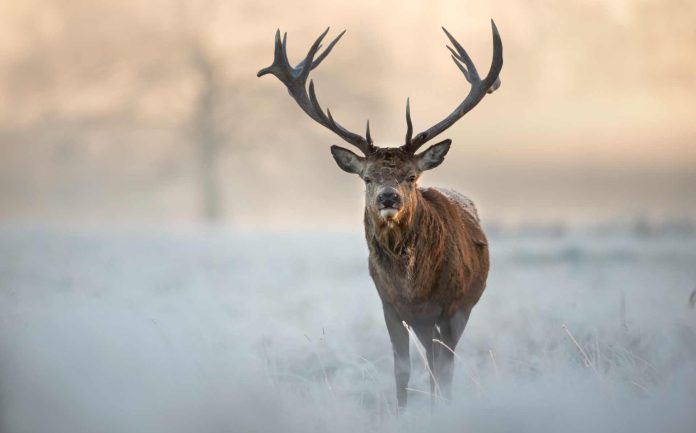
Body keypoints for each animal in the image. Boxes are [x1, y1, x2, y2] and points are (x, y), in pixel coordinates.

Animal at [258, 22, 502, 406]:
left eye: (412, 176)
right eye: (368, 177)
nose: (389, 197)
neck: (413, 288)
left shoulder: (452, 306)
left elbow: (444, 370)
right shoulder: (389, 306)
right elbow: (402, 369)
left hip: (463, 305)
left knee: (440, 363)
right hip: (422, 322)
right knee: (430, 359)